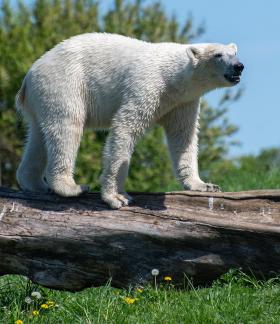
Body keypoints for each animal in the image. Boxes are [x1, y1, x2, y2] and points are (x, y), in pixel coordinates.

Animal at [15, 33, 243, 209]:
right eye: (218, 54)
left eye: (234, 53)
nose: (239, 66)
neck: (173, 76)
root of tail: (29, 75)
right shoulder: (148, 85)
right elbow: (125, 129)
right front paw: (116, 197)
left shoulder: (183, 101)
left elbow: (183, 137)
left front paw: (204, 185)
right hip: (64, 84)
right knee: (67, 128)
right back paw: (71, 187)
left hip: (43, 95)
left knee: (38, 136)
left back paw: (35, 184)